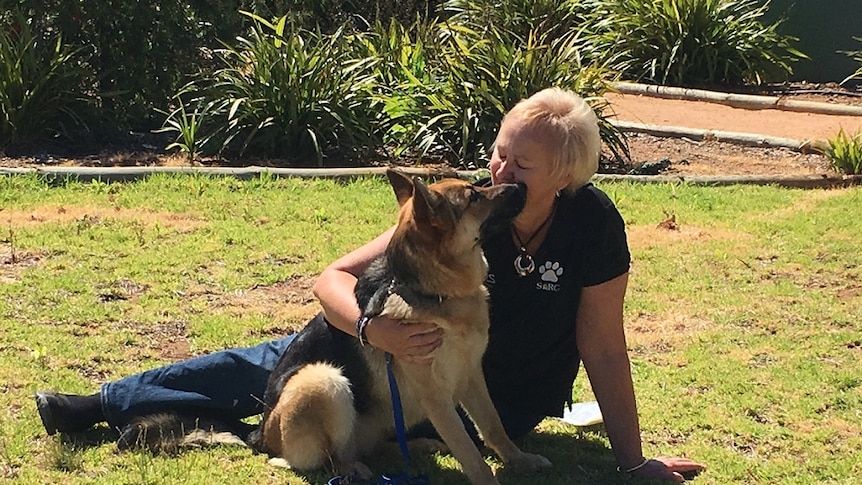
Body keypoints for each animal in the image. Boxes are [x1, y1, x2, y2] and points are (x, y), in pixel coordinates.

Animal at [246, 169, 552, 480]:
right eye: (474, 197)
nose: (521, 186)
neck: (438, 295)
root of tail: (262, 434)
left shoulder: (471, 376)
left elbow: (493, 426)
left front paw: (520, 460)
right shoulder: (436, 397)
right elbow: (468, 450)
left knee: (376, 446)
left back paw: (418, 446)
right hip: (322, 380)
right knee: (333, 458)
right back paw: (354, 469)